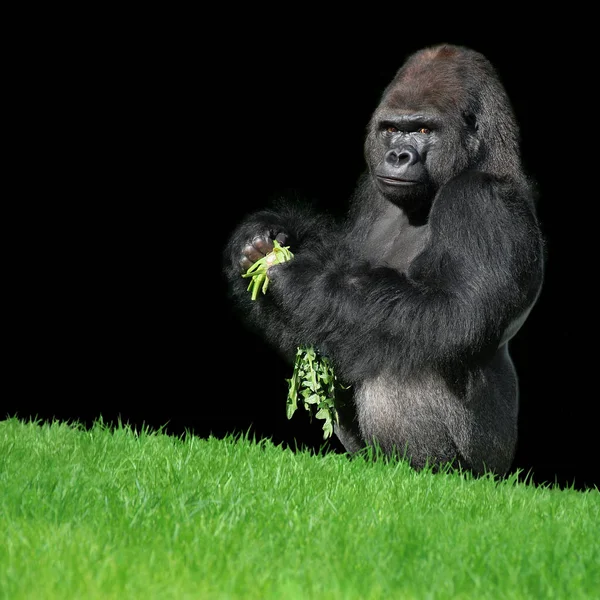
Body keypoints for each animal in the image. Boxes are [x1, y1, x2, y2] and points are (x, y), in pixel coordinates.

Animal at [224, 44, 544, 476]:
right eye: (392, 129)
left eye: (424, 131)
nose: (397, 155)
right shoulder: (371, 190)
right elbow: (322, 312)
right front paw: (266, 236)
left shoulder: (483, 201)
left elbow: (454, 313)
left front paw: (306, 276)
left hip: (487, 467)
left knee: (407, 350)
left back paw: (421, 470)